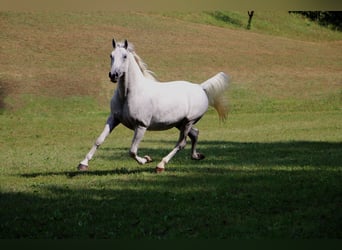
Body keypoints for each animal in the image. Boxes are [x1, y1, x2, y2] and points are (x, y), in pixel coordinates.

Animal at [77, 39, 230, 173]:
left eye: (125, 56)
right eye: (111, 55)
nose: (113, 75)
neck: (128, 95)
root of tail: (200, 87)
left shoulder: (141, 126)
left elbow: (132, 151)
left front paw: (146, 159)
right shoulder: (113, 119)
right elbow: (99, 140)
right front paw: (83, 164)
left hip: (188, 122)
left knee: (181, 143)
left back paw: (160, 165)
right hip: (179, 123)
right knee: (195, 134)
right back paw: (197, 156)